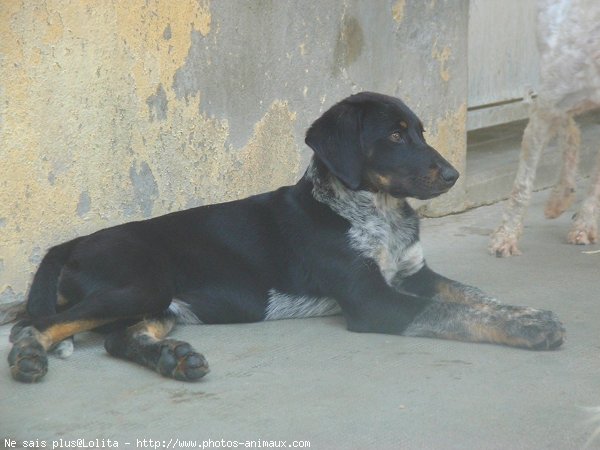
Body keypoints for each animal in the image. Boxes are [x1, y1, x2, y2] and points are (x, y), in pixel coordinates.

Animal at [7, 93, 564, 382]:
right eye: (395, 135)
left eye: (422, 132)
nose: (452, 174)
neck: (376, 211)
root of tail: (70, 243)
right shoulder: (373, 299)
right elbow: (454, 312)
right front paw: (530, 329)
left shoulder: (414, 273)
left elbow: (473, 296)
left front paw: (526, 314)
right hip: (142, 284)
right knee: (34, 325)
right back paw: (29, 357)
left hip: (160, 302)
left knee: (120, 338)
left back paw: (175, 358)